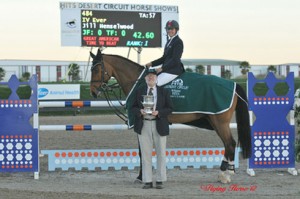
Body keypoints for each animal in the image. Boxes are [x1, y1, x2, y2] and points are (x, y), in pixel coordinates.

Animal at [89, 48, 251, 183]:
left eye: (96, 69)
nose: (93, 92)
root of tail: (233, 85)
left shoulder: (140, 121)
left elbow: (142, 151)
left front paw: (141, 177)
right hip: (217, 123)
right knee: (228, 145)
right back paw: (223, 173)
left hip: (219, 122)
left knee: (230, 144)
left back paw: (226, 175)